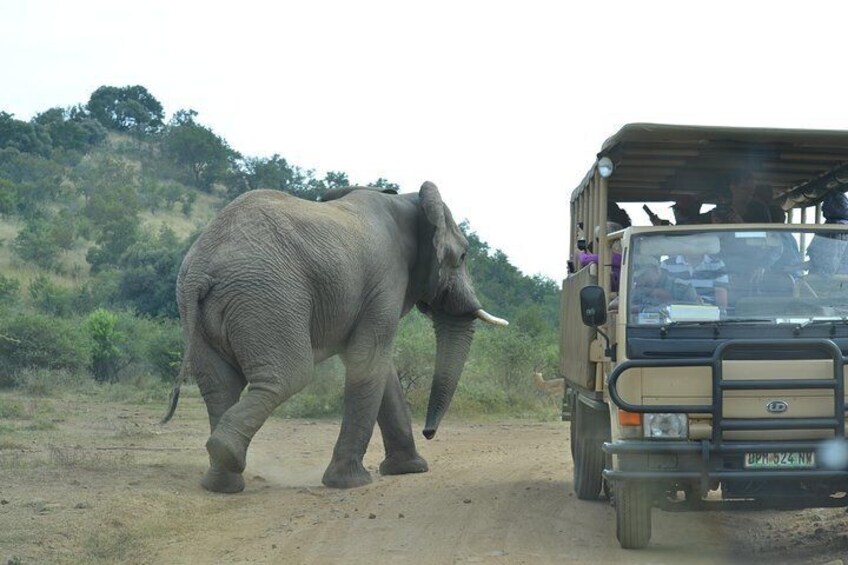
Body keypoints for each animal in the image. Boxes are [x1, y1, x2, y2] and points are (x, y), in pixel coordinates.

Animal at [162, 183, 506, 492]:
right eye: (463, 256)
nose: (429, 432)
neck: (406, 200)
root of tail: (202, 265)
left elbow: (379, 368)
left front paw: (409, 470)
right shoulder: (386, 280)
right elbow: (369, 359)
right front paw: (350, 483)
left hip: (200, 309)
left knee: (220, 385)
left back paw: (221, 483)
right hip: (267, 297)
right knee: (289, 375)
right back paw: (225, 454)